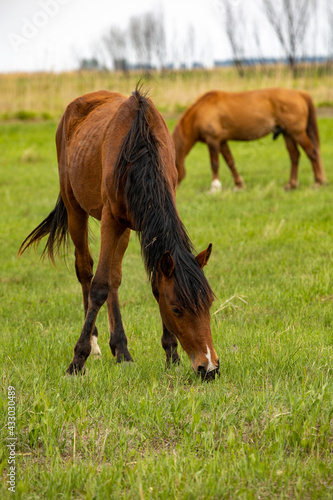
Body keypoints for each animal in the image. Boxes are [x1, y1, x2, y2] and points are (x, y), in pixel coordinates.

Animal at [19, 88, 219, 380]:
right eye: (176, 309)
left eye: (208, 304)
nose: (209, 367)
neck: (140, 149)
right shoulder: (110, 221)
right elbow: (99, 286)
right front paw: (77, 360)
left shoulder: (139, 224)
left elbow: (150, 283)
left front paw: (171, 354)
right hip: (75, 209)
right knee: (86, 271)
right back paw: (96, 345)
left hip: (124, 227)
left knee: (114, 278)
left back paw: (121, 350)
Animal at [172, 88, 326, 191]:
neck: (199, 113)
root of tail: (299, 93)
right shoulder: (222, 141)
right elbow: (230, 162)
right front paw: (239, 184)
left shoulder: (213, 141)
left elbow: (214, 164)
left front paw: (215, 187)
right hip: (287, 134)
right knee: (294, 156)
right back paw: (291, 184)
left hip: (297, 133)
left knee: (312, 152)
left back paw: (318, 182)